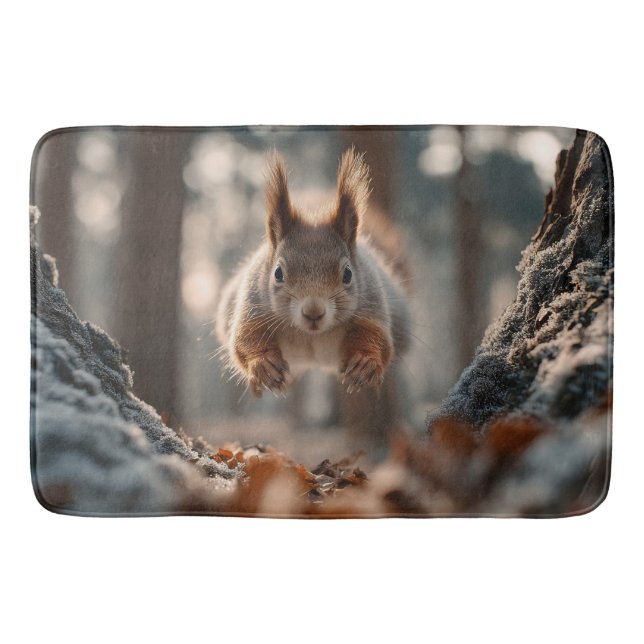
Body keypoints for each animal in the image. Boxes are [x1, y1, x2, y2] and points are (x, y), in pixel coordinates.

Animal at [216, 148, 410, 401]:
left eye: (348, 274)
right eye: (278, 273)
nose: (313, 312)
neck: (311, 335)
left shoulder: (371, 304)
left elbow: (378, 338)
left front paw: (365, 363)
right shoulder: (253, 304)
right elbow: (245, 338)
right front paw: (263, 364)